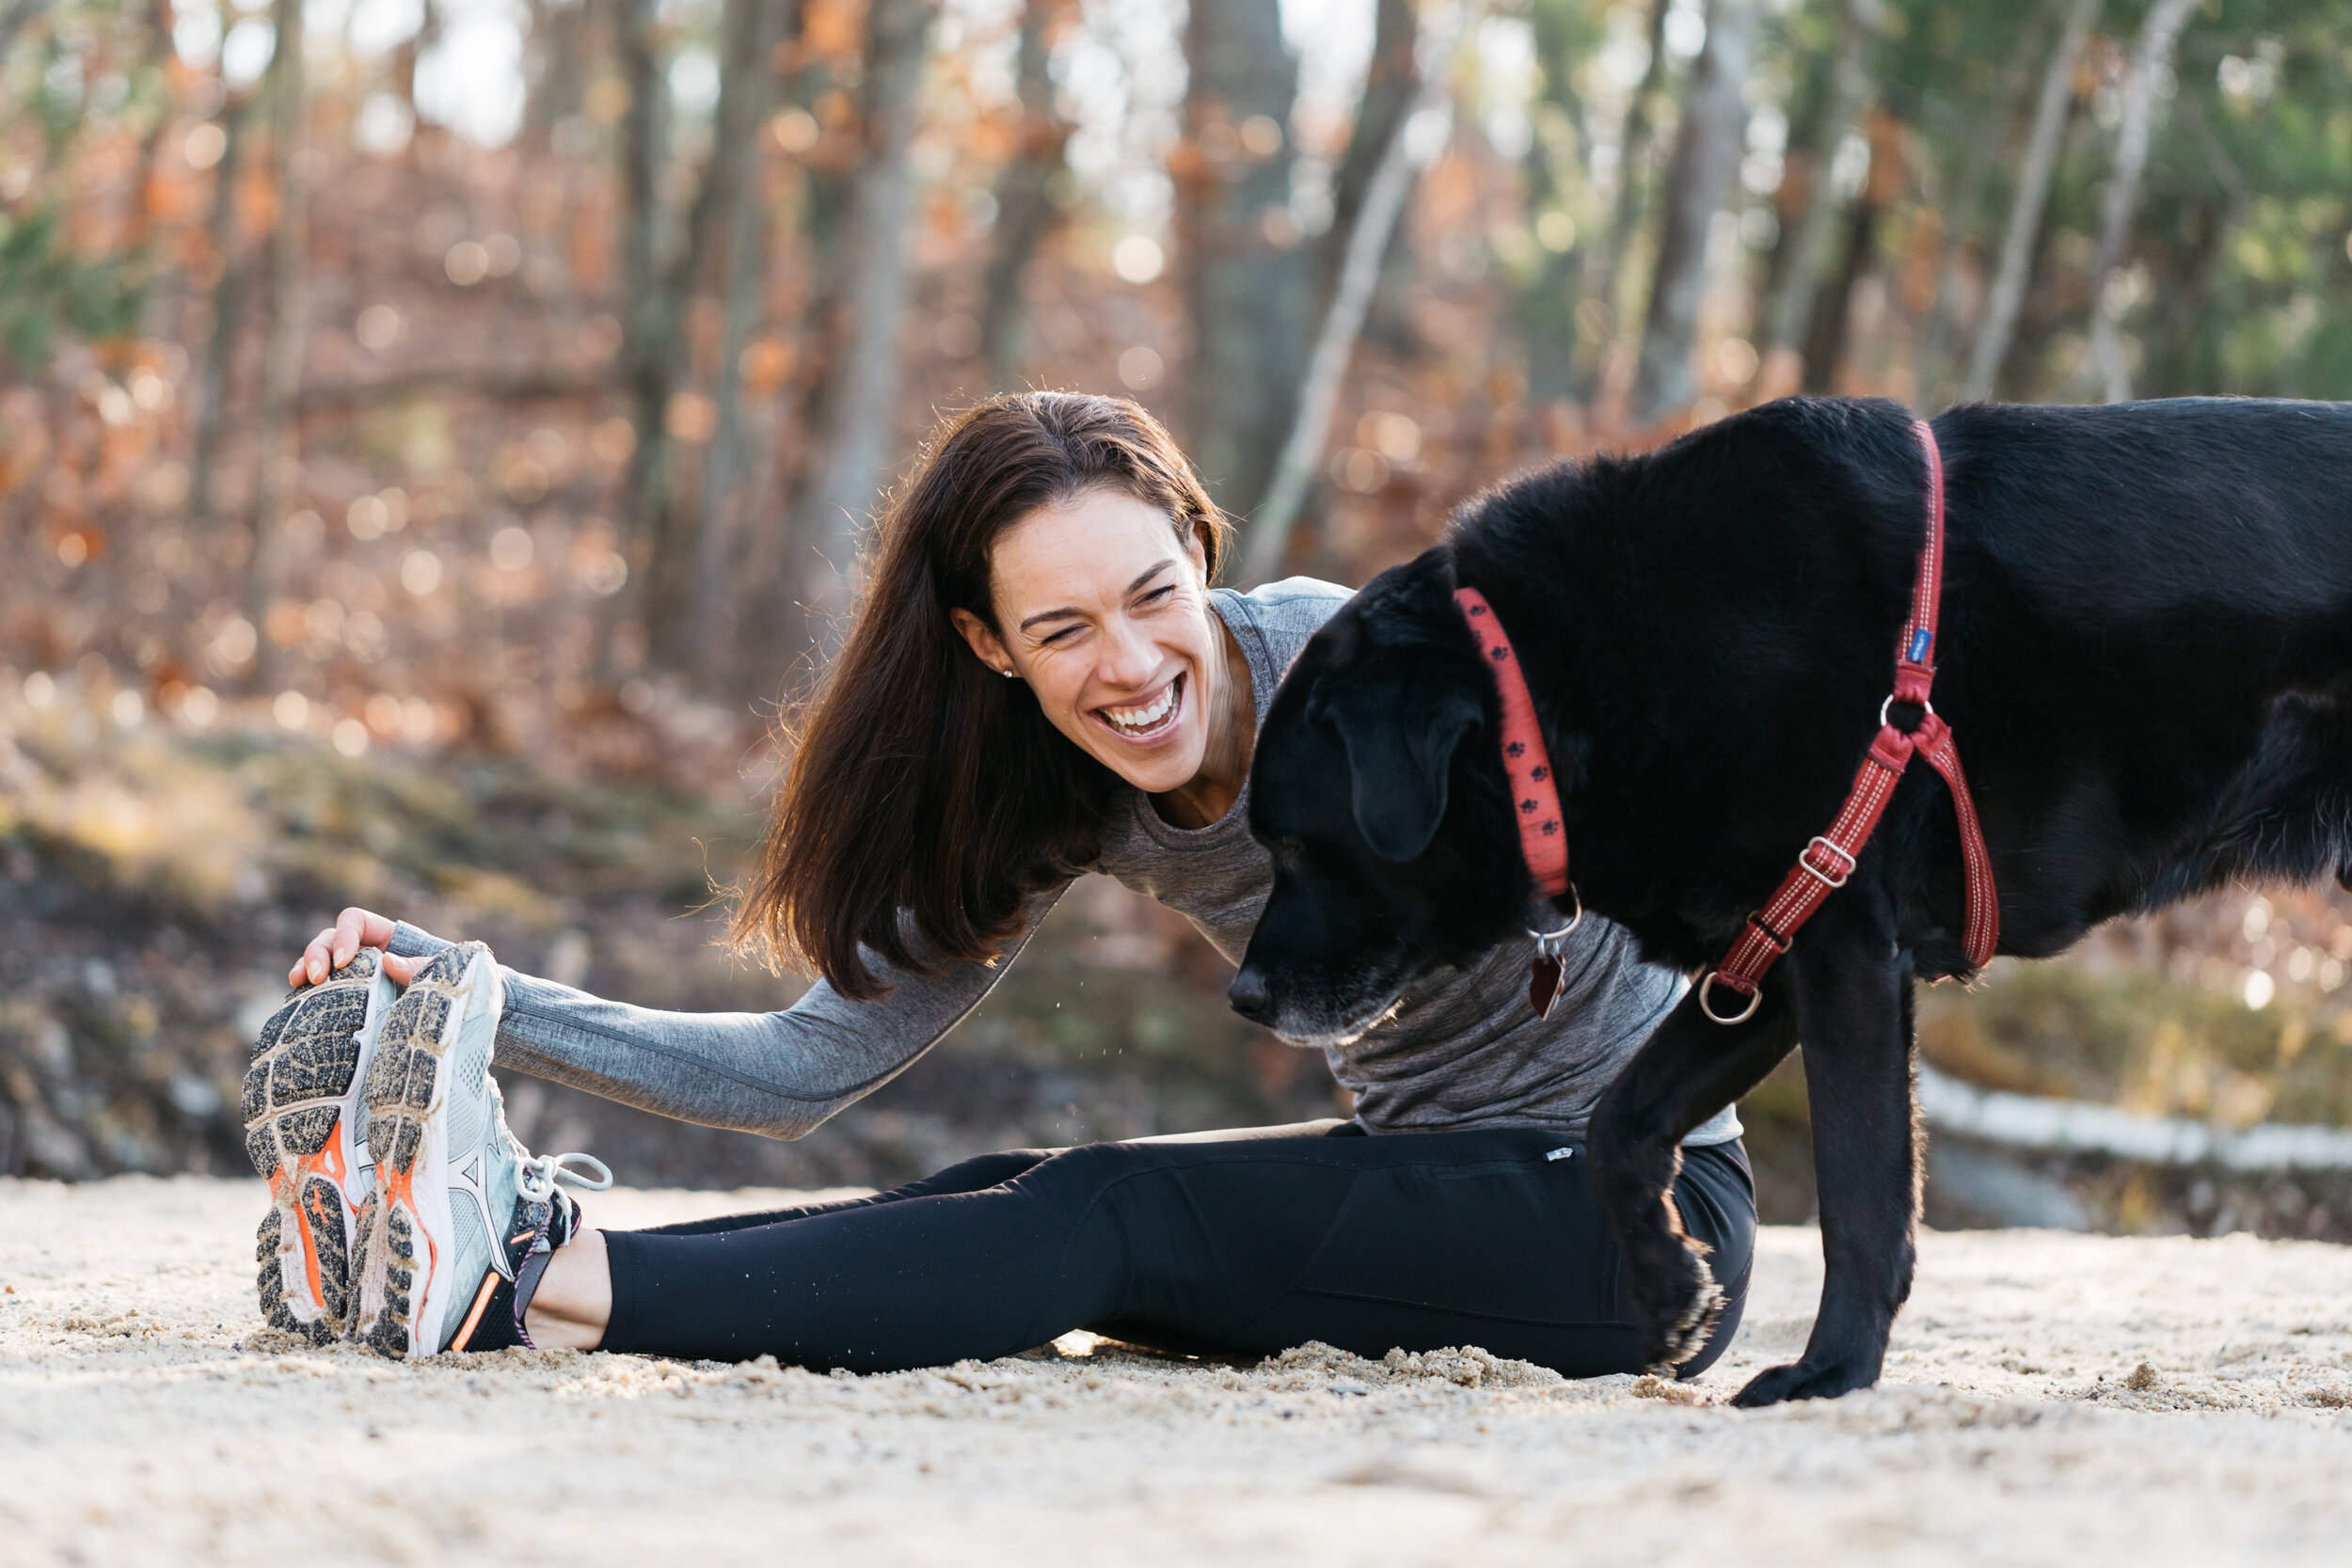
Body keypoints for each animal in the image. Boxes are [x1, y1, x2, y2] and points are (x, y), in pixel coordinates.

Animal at [1223, 394, 2352, 1410]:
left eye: (1292, 840)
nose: (1243, 997)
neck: (1564, 682)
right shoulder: (1765, 956)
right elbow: (1619, 1122)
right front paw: (1671, 1284)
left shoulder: (1844, 949)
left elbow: (1859, 1201)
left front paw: (1829, 1373)